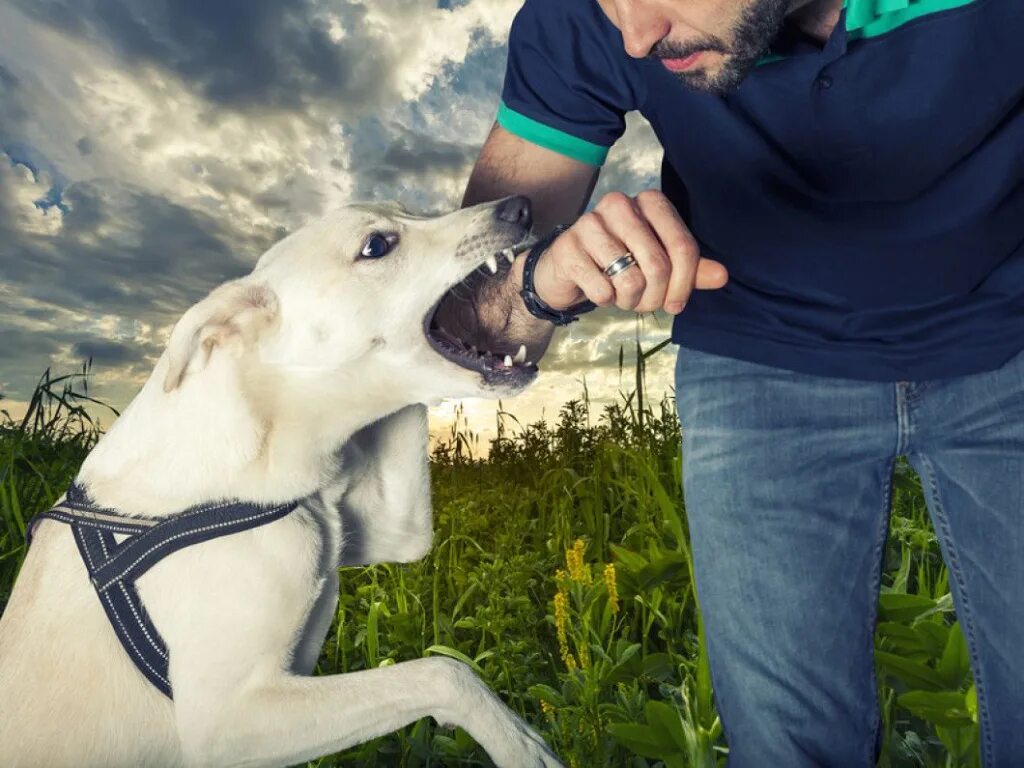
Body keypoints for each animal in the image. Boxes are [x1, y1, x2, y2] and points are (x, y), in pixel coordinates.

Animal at [0, 195, 561, 765]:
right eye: (376, 245)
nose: (520, 205)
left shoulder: (391, 531)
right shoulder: (228, 724)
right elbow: (442, 672)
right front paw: (518, 741)